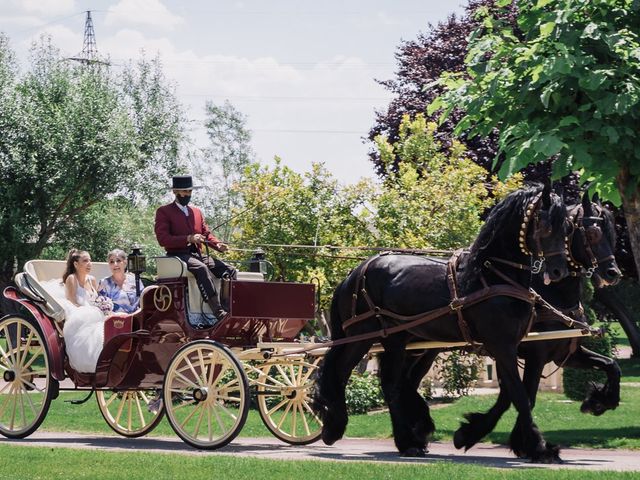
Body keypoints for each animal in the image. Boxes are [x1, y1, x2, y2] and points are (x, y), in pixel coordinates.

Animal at [316, 183, 568, 462]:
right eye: (546, 227)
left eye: (566, 227)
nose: (559, 271)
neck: (492, 275)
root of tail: (355, 272)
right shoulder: (501, 345)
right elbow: (520, 395)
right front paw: (540, 447)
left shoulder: (506, 345)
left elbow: (510, 395)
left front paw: (470, 433)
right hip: (362, 335)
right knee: (346, 374)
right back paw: (353, 430)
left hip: (396, 338)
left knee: (387, 382)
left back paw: (398, 438)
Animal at [452, 193, 624, 460]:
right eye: (593, 233)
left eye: (612, 234)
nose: (613, 273)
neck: (551, 295)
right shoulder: (533, 355)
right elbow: (524, 396)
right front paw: (531, 444)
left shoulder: (565, 352)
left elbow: (611, 365)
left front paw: (601, 401)